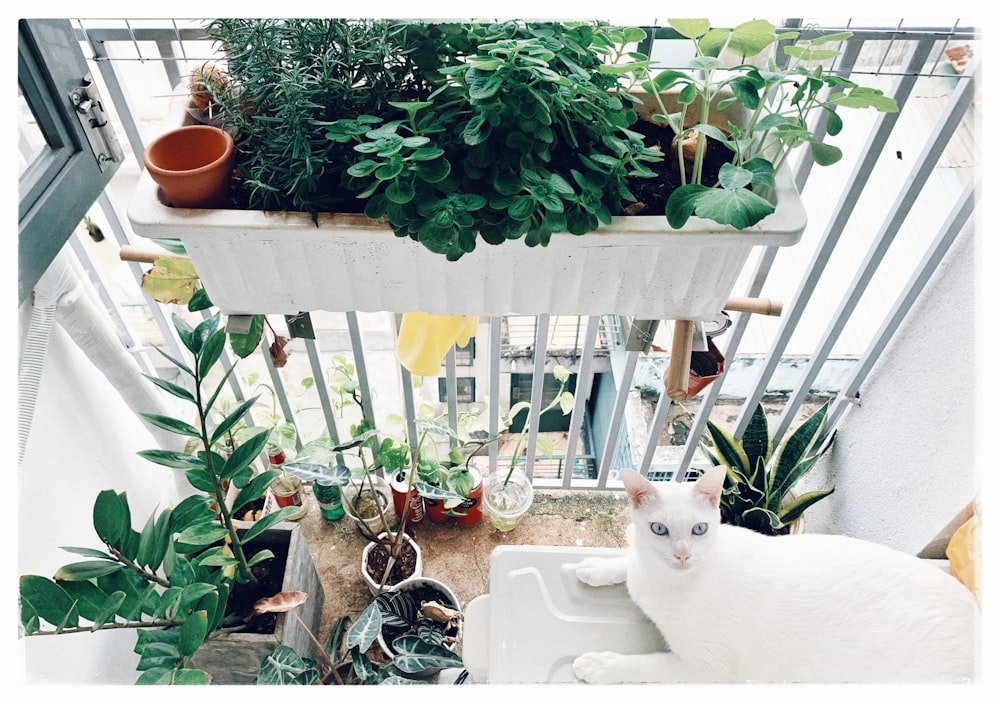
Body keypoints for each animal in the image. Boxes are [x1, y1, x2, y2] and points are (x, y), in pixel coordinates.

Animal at [576, 464, 980, 684]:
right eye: (659, 529)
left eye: (699, 529)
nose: (682, 555)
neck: (664, 578)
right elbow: (627, 560)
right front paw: (597, 567)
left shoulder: (707, 669)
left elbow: (646, 663)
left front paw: (601, 665)